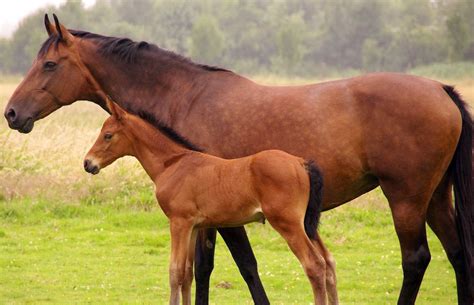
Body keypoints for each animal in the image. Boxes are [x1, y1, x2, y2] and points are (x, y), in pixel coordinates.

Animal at [85, 98, 336, 302]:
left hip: (288, 223)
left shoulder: (179, 222)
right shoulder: (194, 226)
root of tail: (301, 163)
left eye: (108, 135)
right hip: (306, 224)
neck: (173, 163)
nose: (88, 163)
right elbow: (187, 273)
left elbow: (175, 271)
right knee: (329, 263)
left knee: (314, 265)